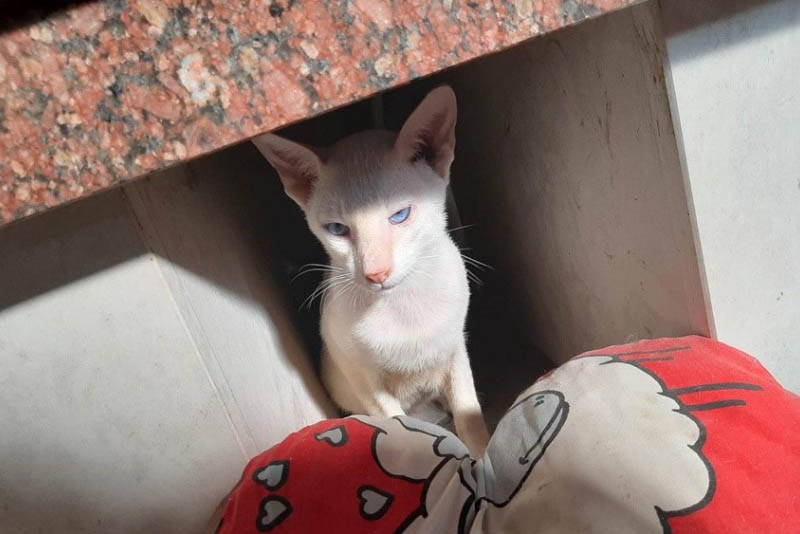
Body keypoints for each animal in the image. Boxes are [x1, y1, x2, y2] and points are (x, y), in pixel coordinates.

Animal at [252, 86, 490, 456]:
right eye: (337, 229)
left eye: (400, 215)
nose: (375, 273)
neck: (404, 307)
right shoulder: (362, 378)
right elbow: (398, 425)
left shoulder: (455, 349)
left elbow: (469, 415)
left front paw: (485, 457)